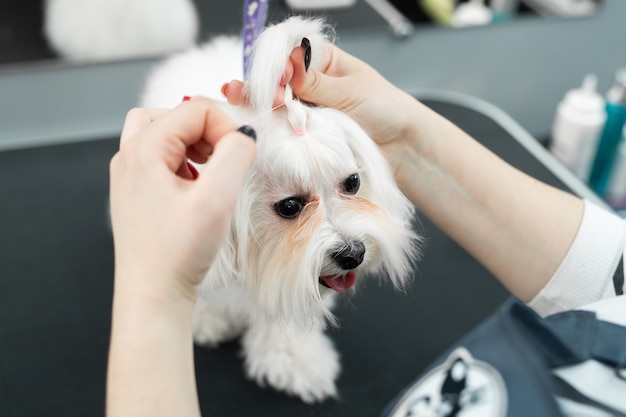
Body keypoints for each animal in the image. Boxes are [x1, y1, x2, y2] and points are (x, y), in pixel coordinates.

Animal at [140, 16, 420, 404]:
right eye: (290, 206)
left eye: (352, 183)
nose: (354, 253)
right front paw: (206, 317)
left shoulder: (290, 273)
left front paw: (293, 357)